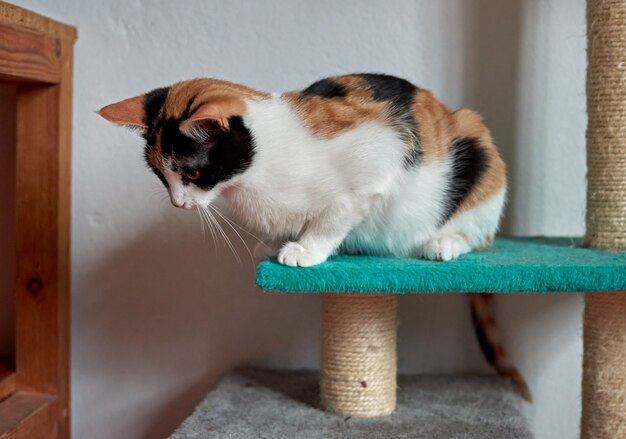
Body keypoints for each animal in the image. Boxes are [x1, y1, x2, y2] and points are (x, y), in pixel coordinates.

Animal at [97, 74, 528, 400]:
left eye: (191, 173)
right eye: (160, 176)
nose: (178, 203)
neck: (257, 173)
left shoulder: (374, 163)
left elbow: (333, 217)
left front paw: (305, 249)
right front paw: (275, 244)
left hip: (477, 153)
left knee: (475, 233)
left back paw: (443, 243)